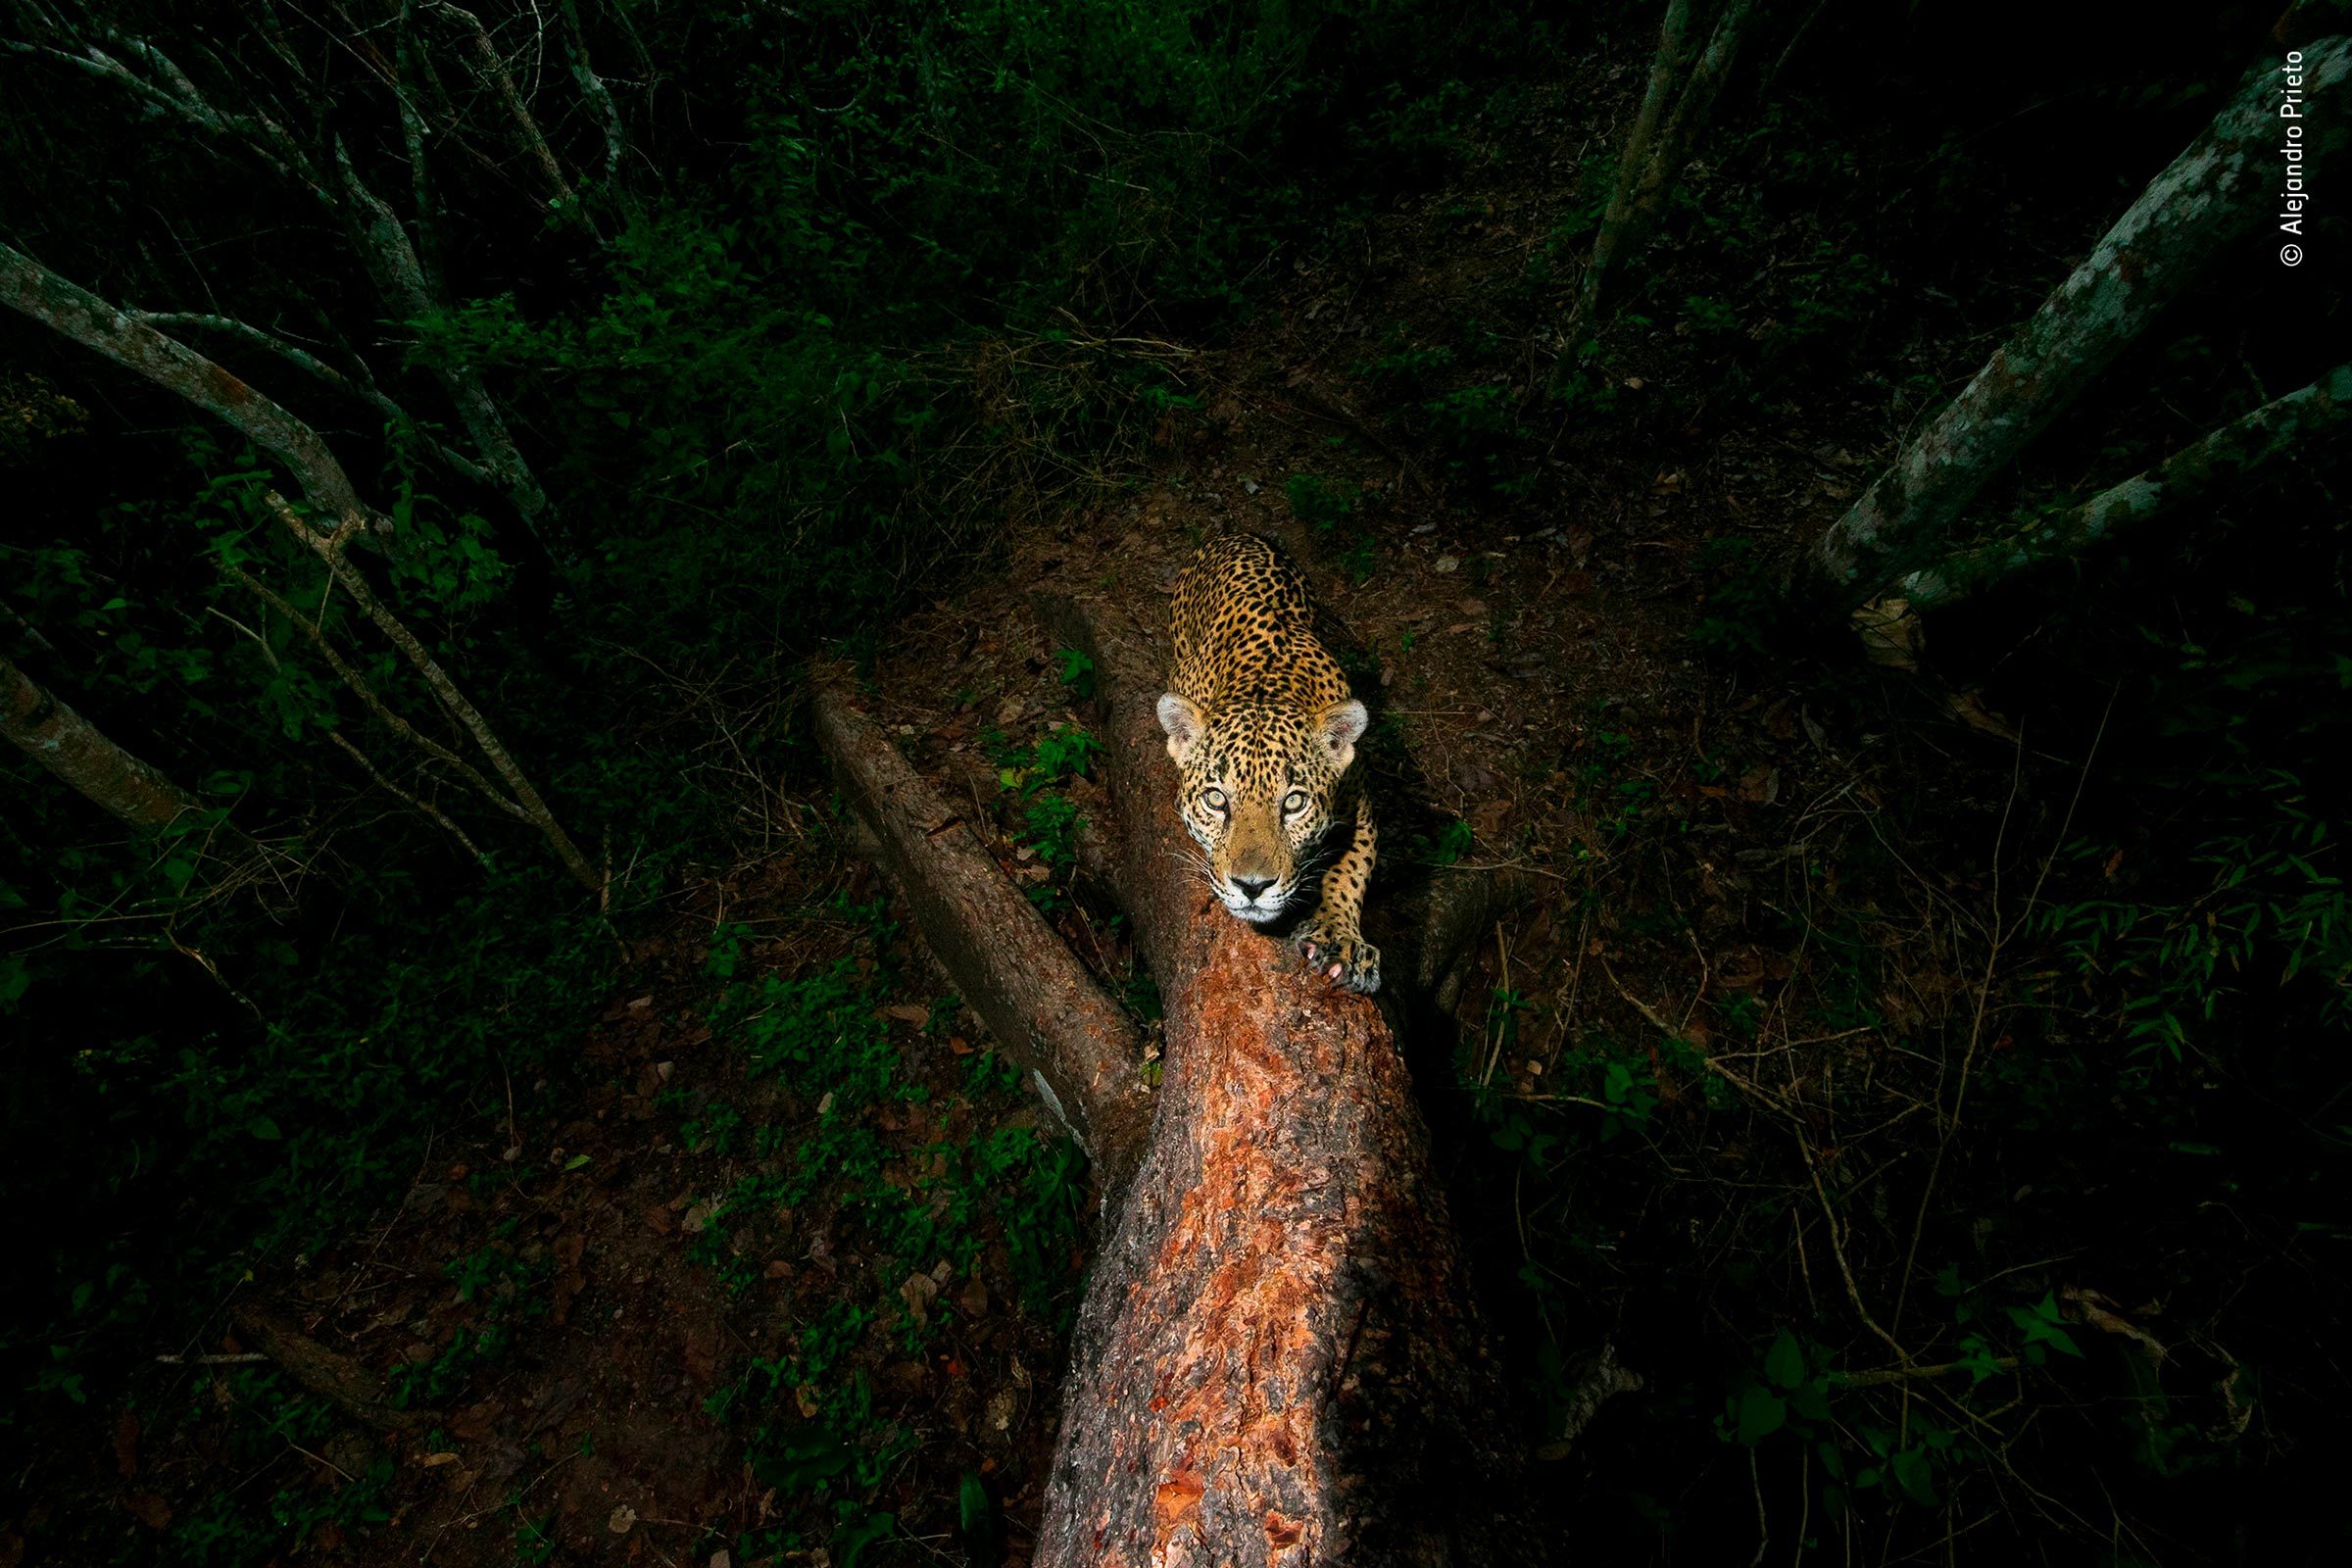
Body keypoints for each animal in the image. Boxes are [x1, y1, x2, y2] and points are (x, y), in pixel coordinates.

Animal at [1156, 533, 1381, 994]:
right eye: (1215, 800)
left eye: (1294, 803)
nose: (1253, 887)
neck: (1268, 683)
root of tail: (1238, 534)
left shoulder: (1361, 800)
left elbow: (1352, 867)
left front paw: (1341, 939)